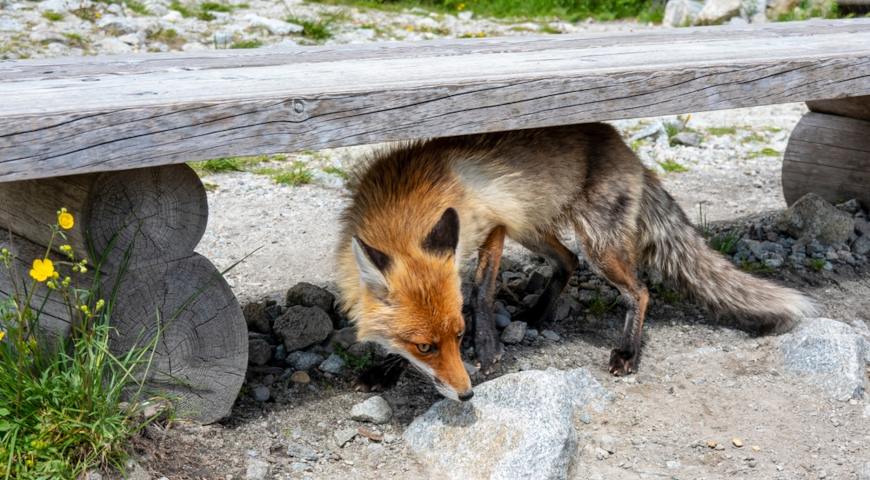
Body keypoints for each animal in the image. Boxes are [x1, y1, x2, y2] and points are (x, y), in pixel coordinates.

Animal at [336, 123, 816, 401]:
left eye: (459, 335)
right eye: (425, 347)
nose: (468, 395)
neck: (406, 205)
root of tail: (627, 148)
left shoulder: (494, 225)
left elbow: (480, 290)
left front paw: (488, 348)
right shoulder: (495, 229)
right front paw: (383, 371)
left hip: (597, 244)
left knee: (640, 291)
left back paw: (628, 351)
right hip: (535, 229)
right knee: (567, 261)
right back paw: (538, 315)